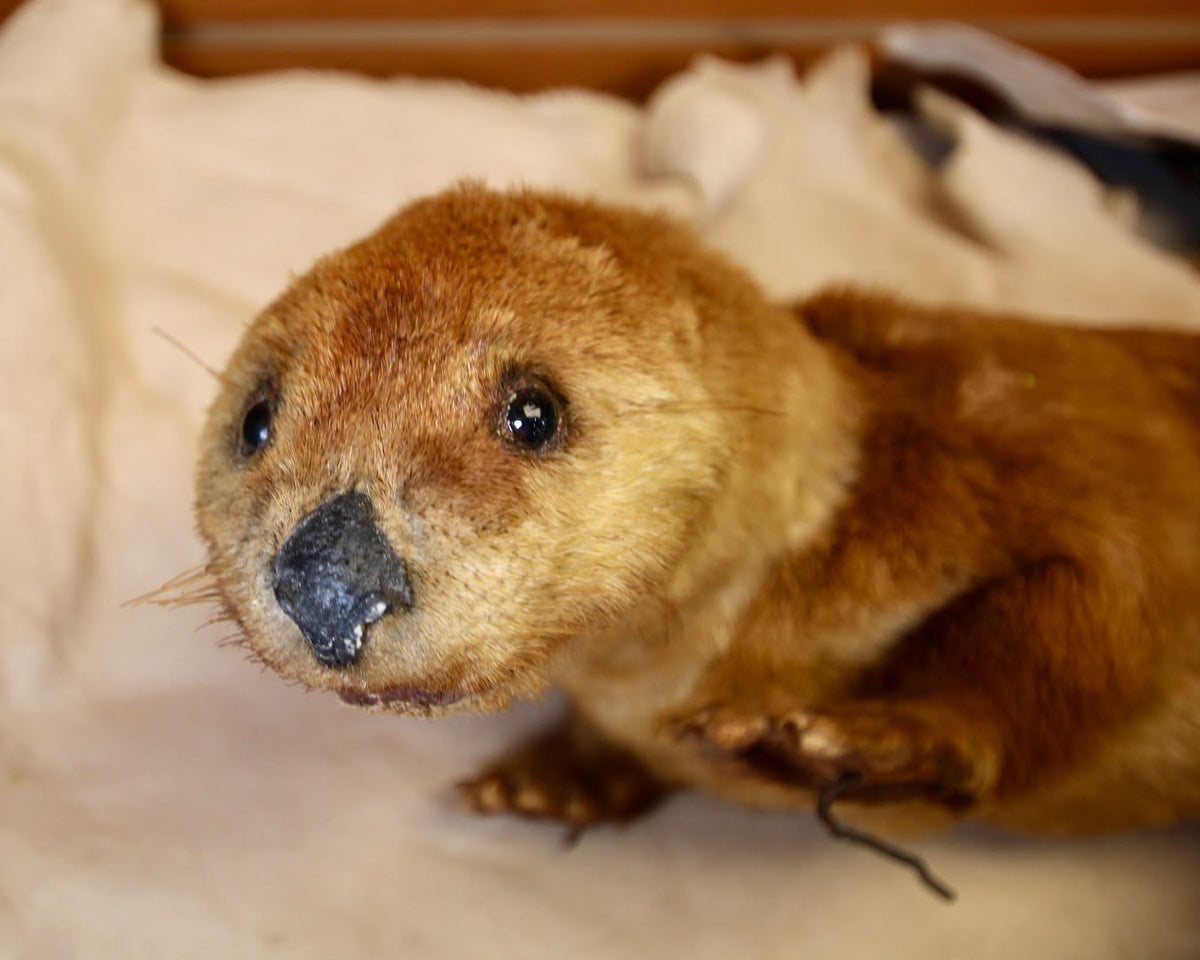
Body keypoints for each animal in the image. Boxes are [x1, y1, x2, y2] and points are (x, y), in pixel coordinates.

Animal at [194, 185, 1200, 849]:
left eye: (533, 410)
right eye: (256, 418)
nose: (330, 577)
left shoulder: (1027, 460)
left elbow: (1095, 614)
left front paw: (865, 738)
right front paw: (553, 781)